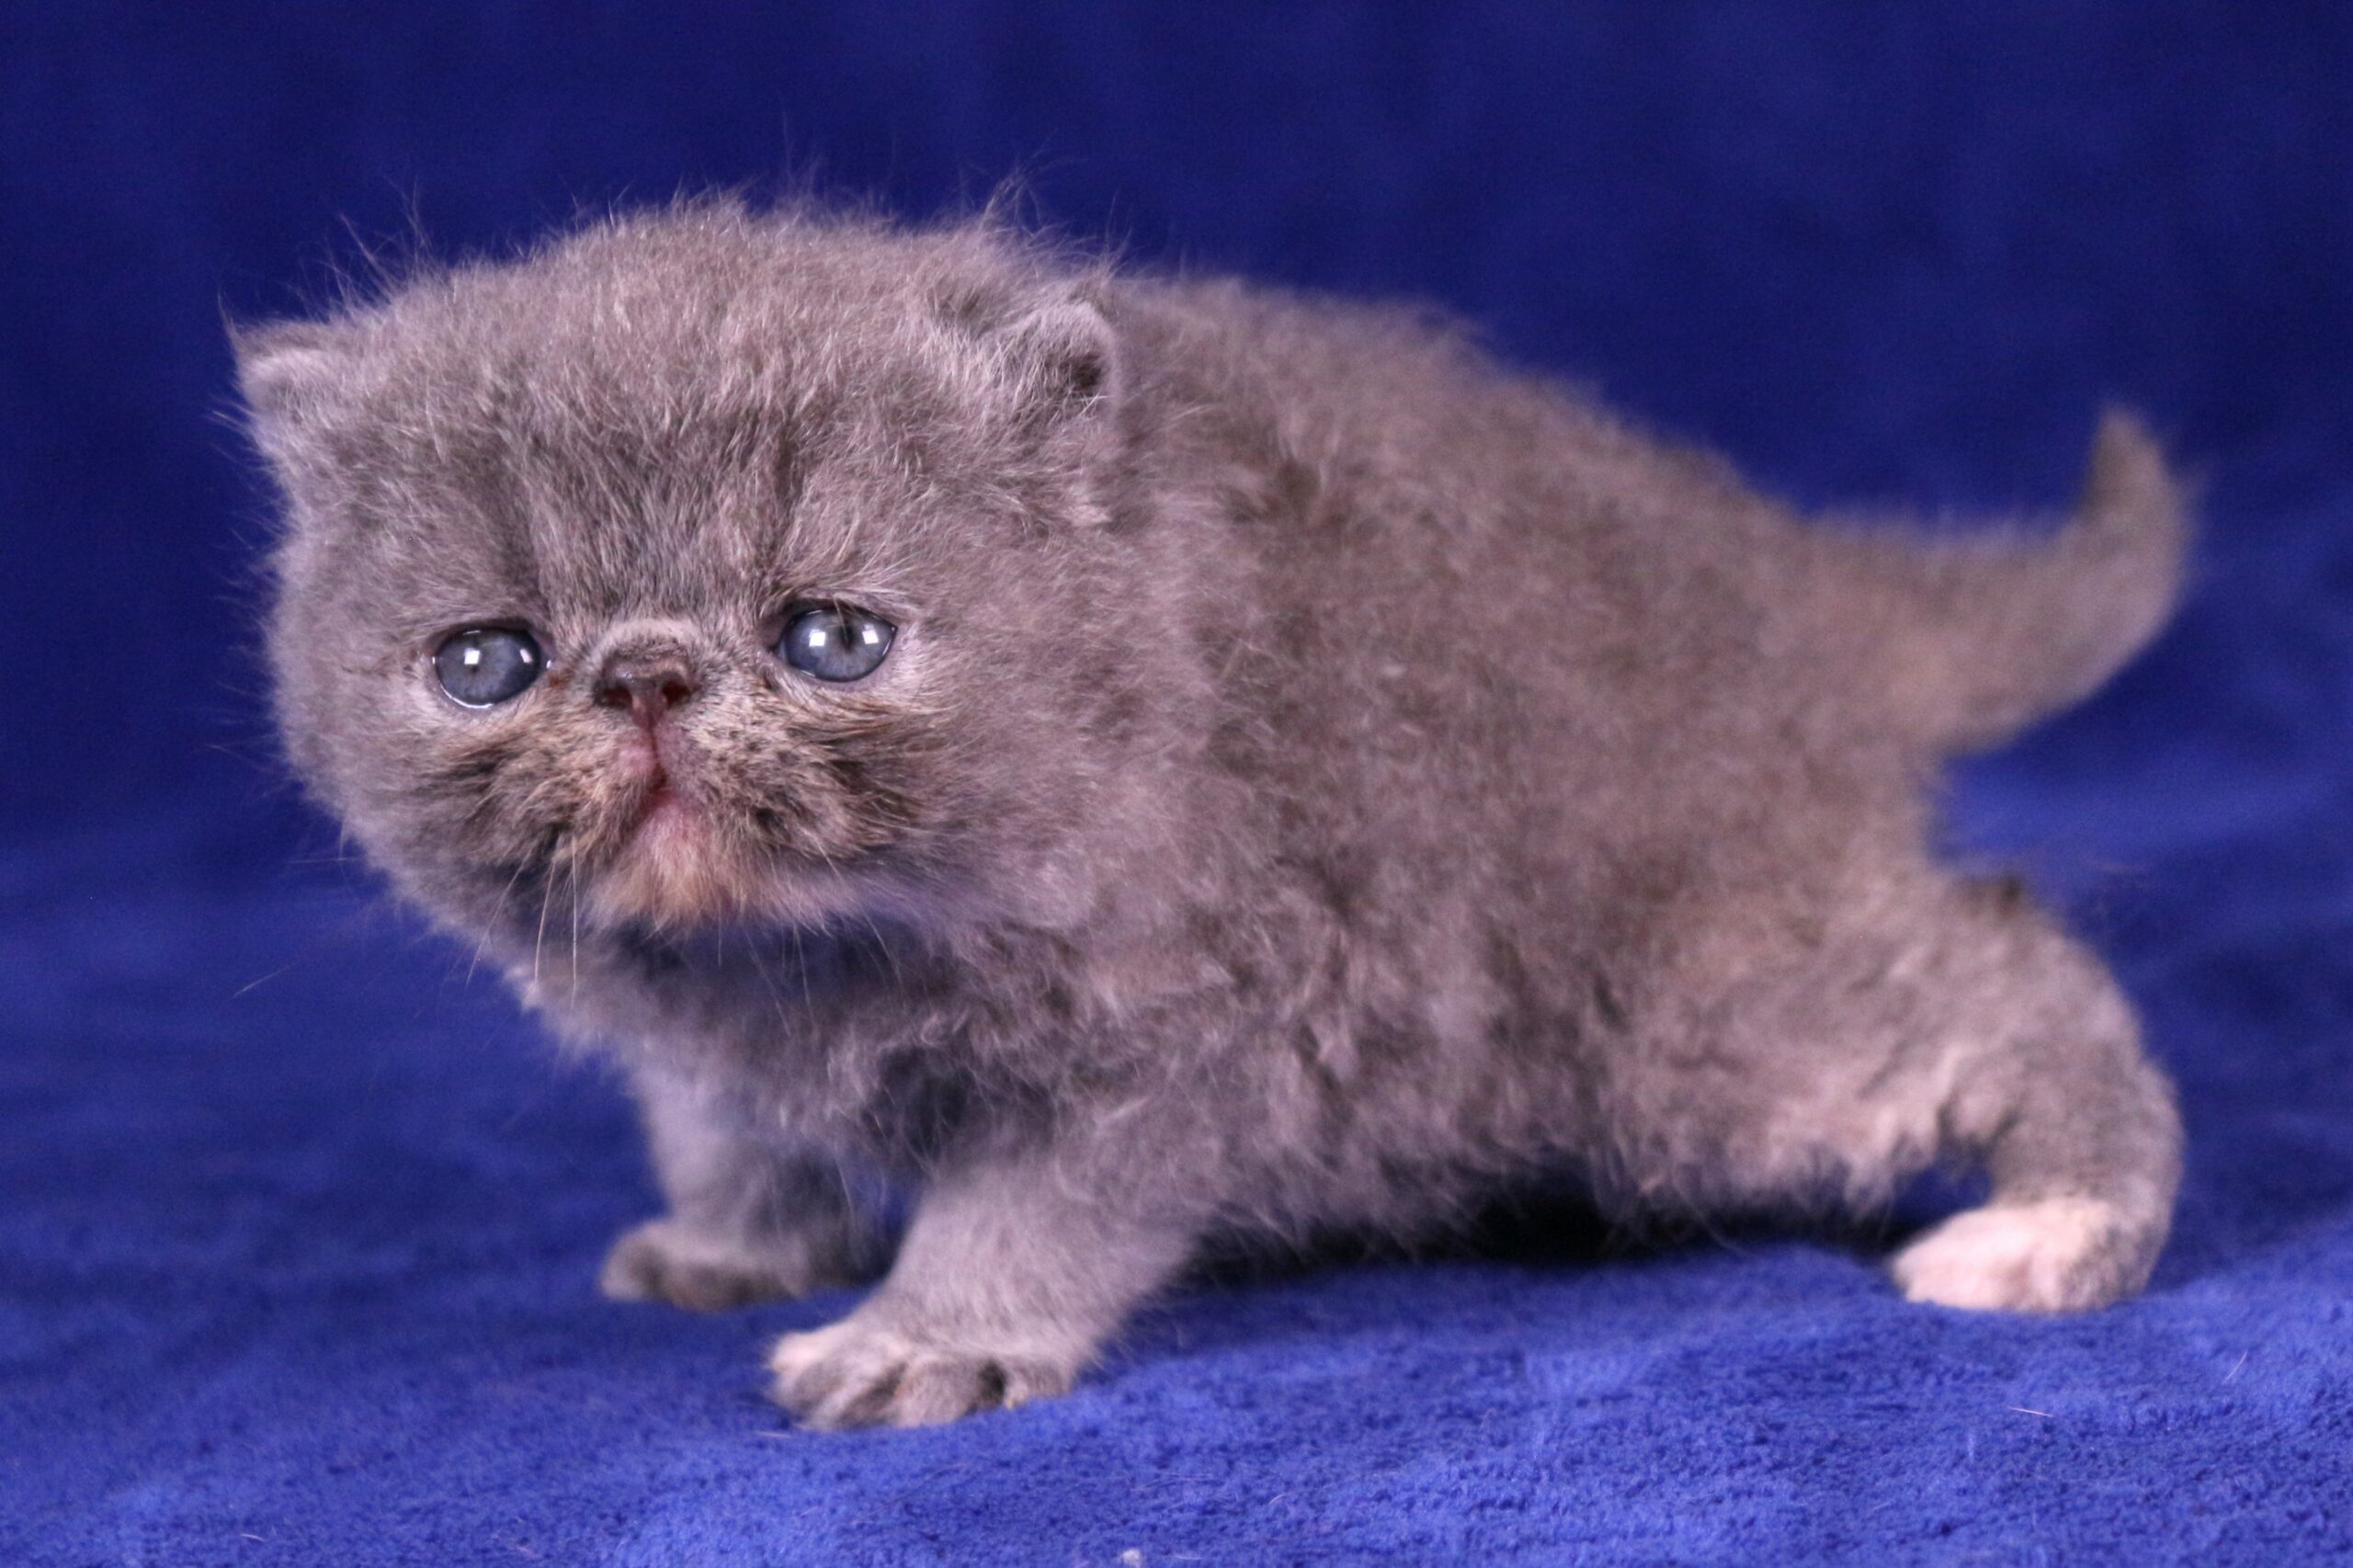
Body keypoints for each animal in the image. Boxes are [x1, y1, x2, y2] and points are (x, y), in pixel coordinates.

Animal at [235, 199, 2185, 1429]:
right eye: (489, 661)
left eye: (831, 638)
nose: (644, 677)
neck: (793, 960)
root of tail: (1784, 582)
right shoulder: (706, 1034)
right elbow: (720, 1123)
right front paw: (738, 1241)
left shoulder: (1209, 1010)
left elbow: (1040, 1203)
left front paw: (924, 1341)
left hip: (1680, 1030)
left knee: (2002, 962)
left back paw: (2052, 1223)